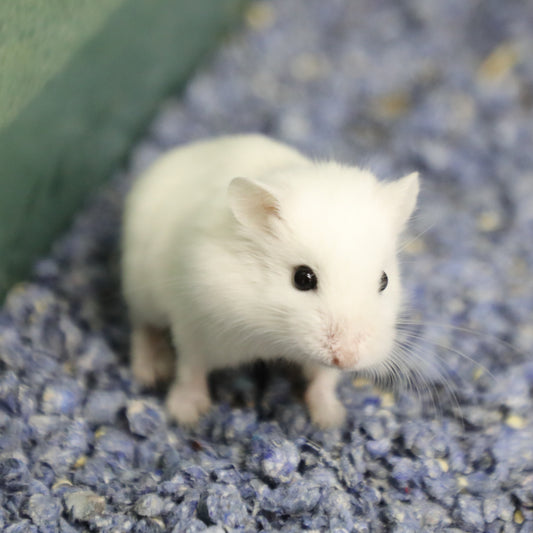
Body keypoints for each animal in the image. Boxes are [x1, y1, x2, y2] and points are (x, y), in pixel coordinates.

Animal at [122, 134, 418, 428]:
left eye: (384, 280)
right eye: (302, 278)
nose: (346, 359)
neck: (272, 334)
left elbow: (324, 378)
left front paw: (331, 419)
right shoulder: (194, 325)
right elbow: (190, 368)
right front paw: (185, 415)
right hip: (140, 291)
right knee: (141, 328)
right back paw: (149, 372)